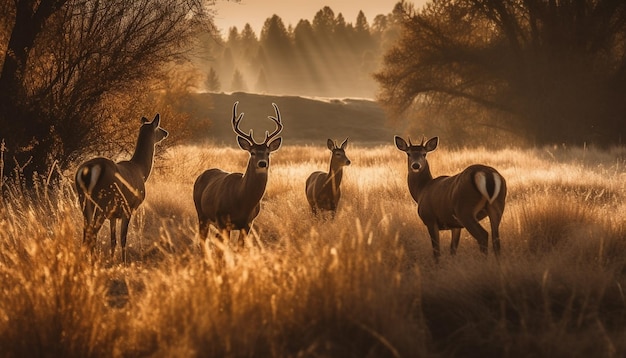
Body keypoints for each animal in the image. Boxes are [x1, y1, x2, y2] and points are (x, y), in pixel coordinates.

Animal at [74, 114, 168, 262]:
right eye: (158, 127)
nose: (166, 133)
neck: (141, 171)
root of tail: (87, 170)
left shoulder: (113, 215)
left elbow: (113, 240)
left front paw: (113, 259)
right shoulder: (128, 208)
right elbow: (123, 238)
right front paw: (123, 261)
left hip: (84, 200)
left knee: (86, 232)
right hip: (103, 202)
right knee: (92, 232)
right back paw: (93, 260)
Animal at [193, 100, 282, 246]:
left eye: (268, 153)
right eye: (252, 152)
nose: (262, 163)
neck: (242, 200)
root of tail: (201, 175)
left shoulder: (248, 224)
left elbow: (240, 248)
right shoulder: (222, 220)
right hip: (201, 214)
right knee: (203, 240)